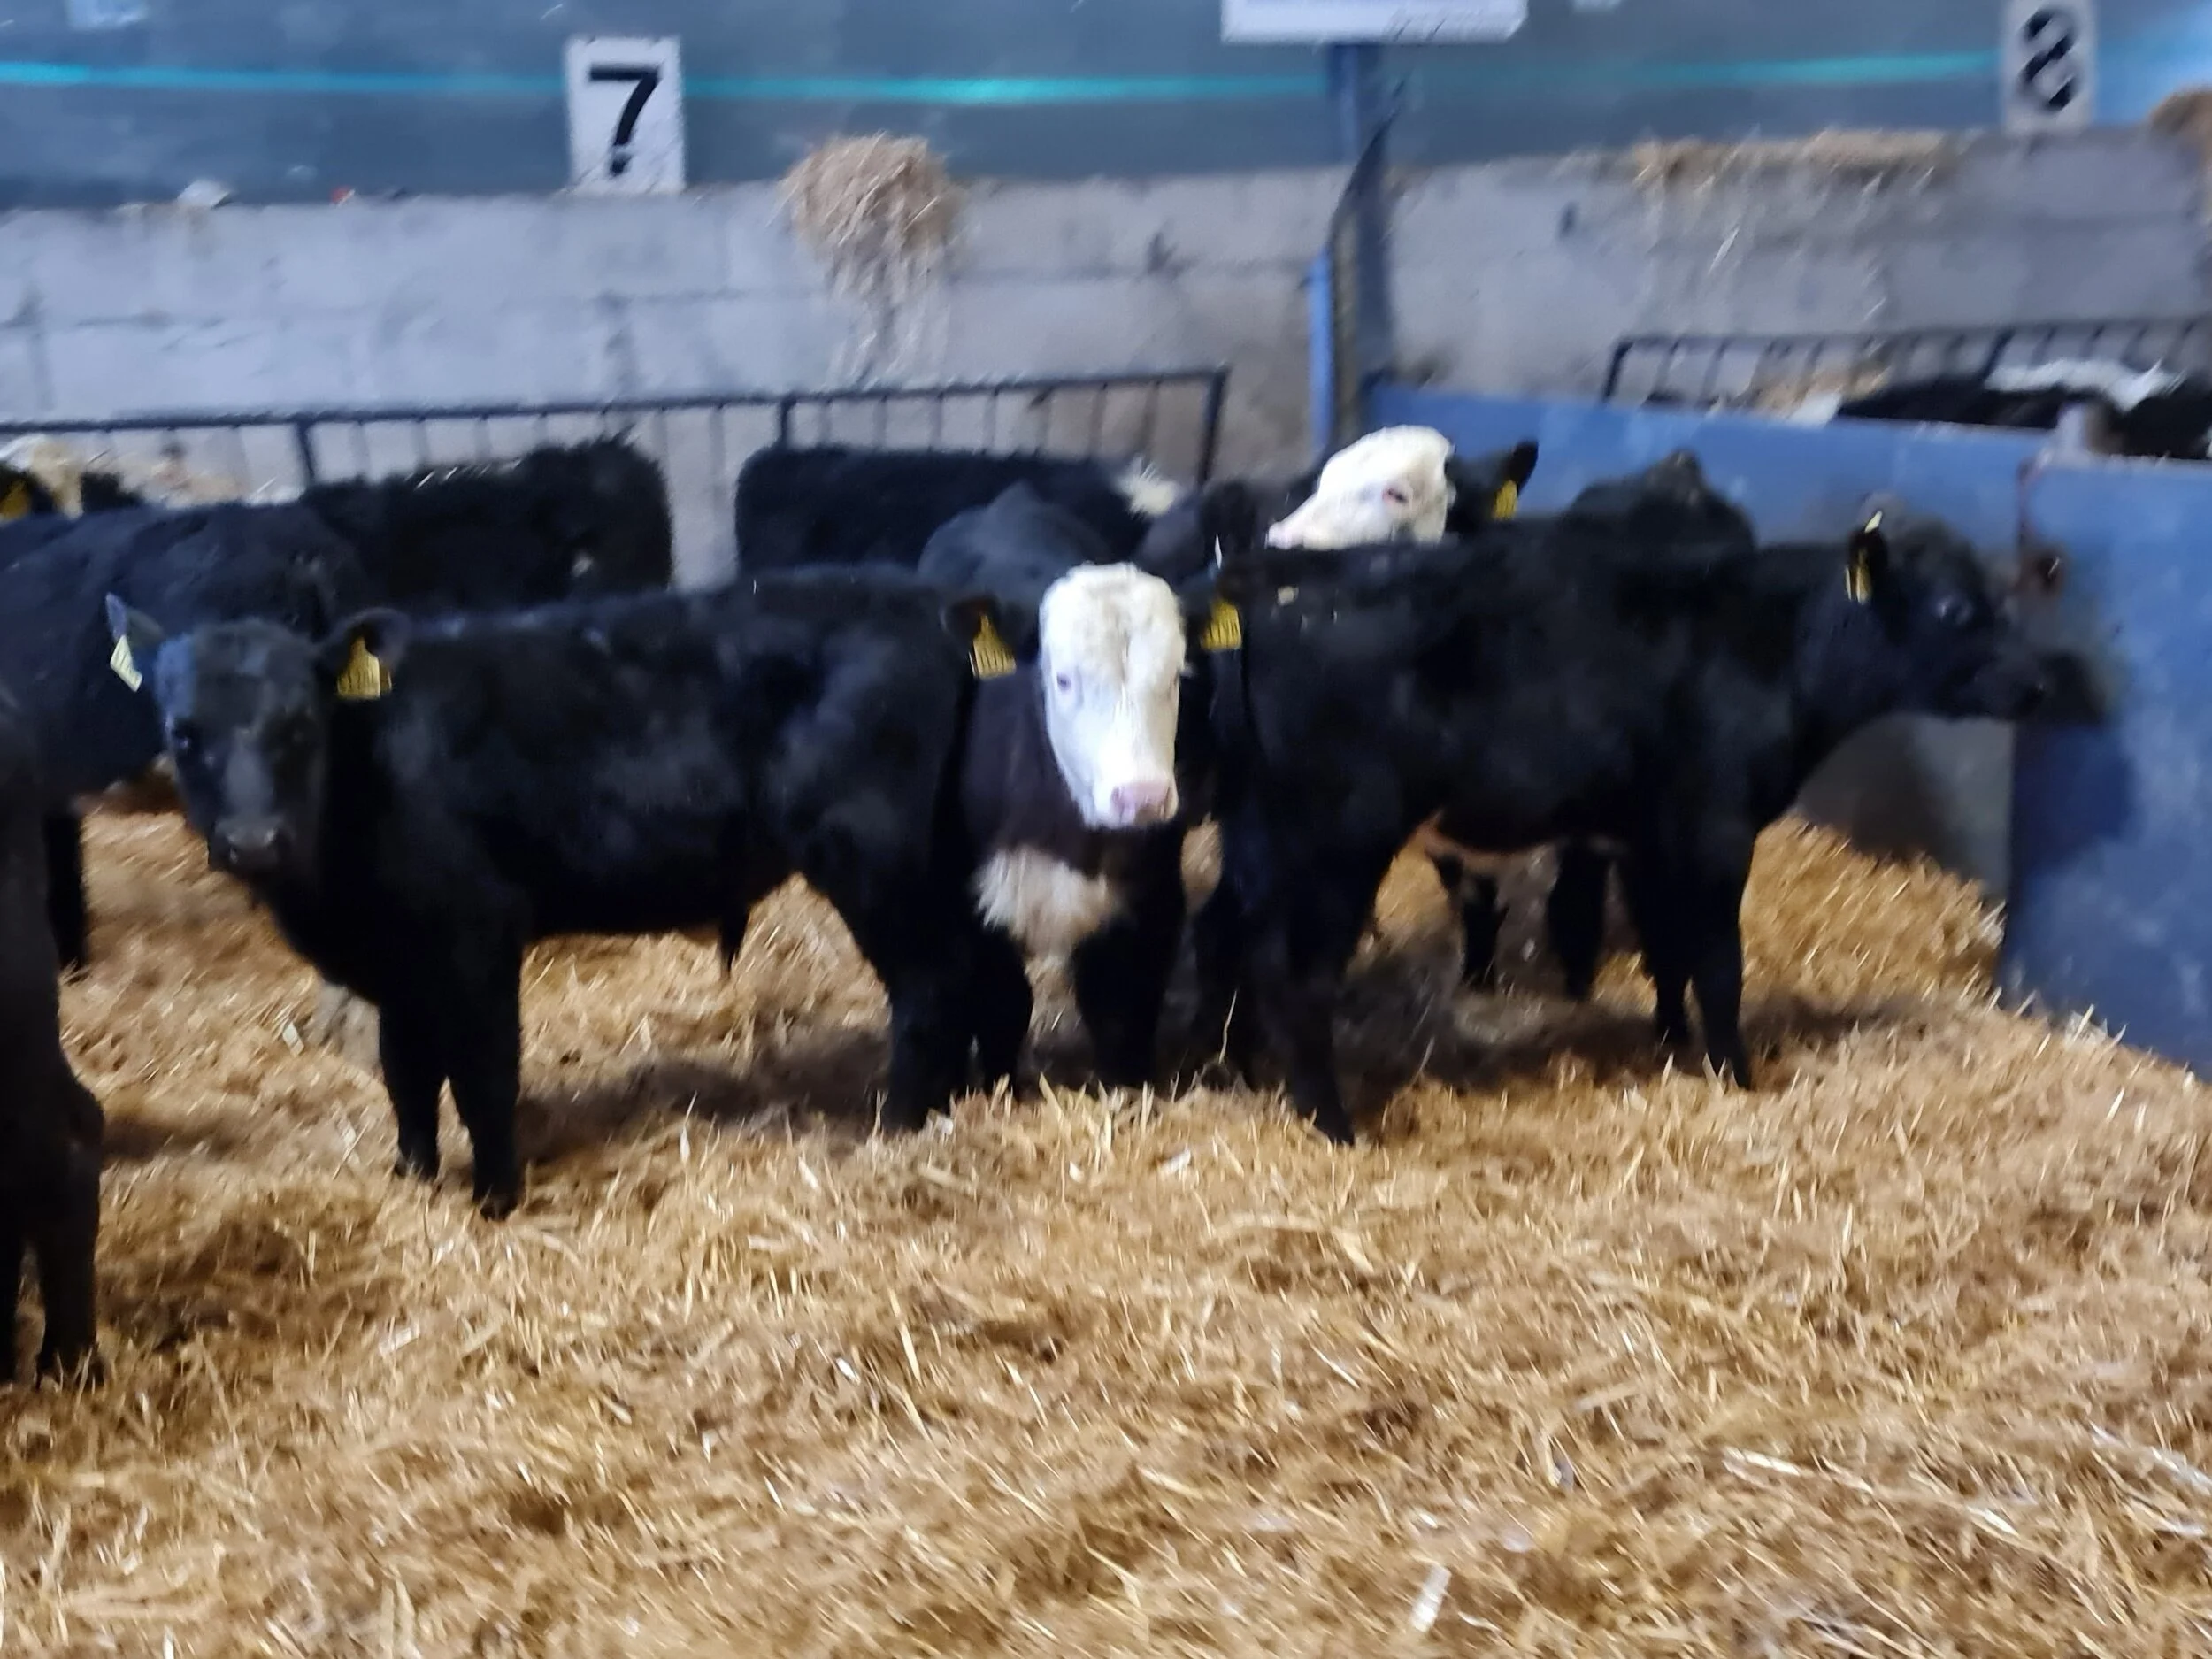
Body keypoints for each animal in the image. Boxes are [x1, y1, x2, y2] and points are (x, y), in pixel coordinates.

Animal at [104, 570, 1010, 1217]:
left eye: (299, 725)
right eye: (183, 732)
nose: (256, 839)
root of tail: (933, 606)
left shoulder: (474, 934)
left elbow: (482, 1074)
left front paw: (496, 1198)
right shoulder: (400, 966)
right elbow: (406, 1075)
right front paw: (411, 1177)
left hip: (875, 857)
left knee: (930, 986)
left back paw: (897, 1126)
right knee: (991, 974)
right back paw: (983, 1093)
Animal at [913, 483, 1233, 1090]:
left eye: (1177, 675)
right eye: (1063, 679)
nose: (1141, 797)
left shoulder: (1152, 897)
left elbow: (1122, 1008)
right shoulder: (971, 906)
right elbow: (1003, 1003)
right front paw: (1003, 1089)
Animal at [1196, 499, 2103, 1143]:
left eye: (1998, 598)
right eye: (1953, 610)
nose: (2037, 682)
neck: (1776, 644)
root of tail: (1271, 578)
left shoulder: (1645, 831)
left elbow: (1669, 950)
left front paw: (1674, 1044)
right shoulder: (1716, 824)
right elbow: (1719, 962)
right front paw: (1738, 1074)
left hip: (1261, 833)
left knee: (1231, 941)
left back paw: (1237, 1071)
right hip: (1337, 840)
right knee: (1296, 973)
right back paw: (1333, 1124)